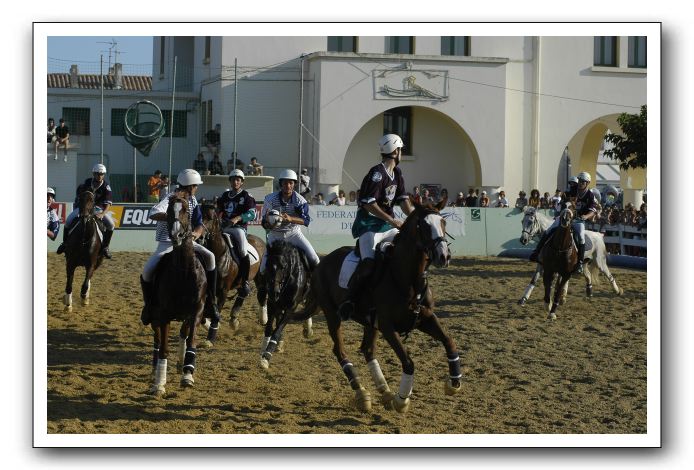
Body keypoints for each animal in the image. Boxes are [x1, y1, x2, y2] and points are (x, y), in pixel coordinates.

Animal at [148, 195, 207, 396]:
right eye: (167, 211)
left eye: (186, 211)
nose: (176, 236)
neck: (183, 272)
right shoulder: (163, 314)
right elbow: (164, 348)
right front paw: (159, 384)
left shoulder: (196, 311)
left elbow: (192, 340)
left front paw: (187, 375)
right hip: (154, 315)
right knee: (157, 341)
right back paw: (154, 372)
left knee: (183, 333)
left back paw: (182, 363)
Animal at [198, 202, 267, 345]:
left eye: (210, 218)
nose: (199, 236)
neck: (218, 254)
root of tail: (260, 240)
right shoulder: (208, 290)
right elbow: (204, 313)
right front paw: (208, 324)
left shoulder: (223, 291)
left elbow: (217, 311)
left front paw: (210, 338)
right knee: (243, 293)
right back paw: (234, 320)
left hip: (260, 278)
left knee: (261, 295)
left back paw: (263, 318)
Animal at [257, 240, 314, 370]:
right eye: (267, 265)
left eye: (283, 267)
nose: (274, 292)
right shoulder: (272, 304)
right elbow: (269, 328)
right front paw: (264, 349)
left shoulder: (290, 308)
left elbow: (277, 331)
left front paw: (267, 356)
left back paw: (308, 329)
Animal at [294, 199, 461, 413]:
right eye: (423, 225)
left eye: (443, 222)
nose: (443, 256)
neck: (406, 279)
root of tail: (320, 263)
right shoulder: (387, 326)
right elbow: (408, 362)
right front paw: (402, 400)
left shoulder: (426, 318)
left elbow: (449, 341)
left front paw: (454, 383)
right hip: (332, 315)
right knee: (340, 351)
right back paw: (362, 393)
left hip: (369, 322)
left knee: (367, 350)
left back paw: (385, 390)